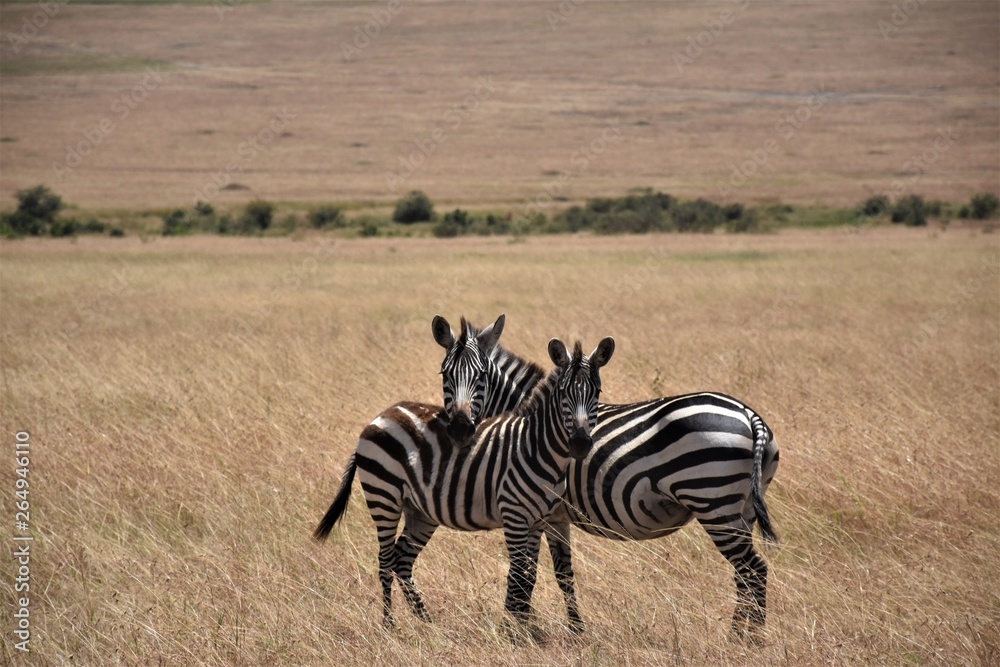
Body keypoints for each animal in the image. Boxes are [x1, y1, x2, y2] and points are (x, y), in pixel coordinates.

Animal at [313, 336, 616, 630]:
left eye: (597, 393)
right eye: (564, 393)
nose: (581, 444)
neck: (537, 447)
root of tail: (384, 414)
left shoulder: (544, 520)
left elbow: (533, 575)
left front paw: (526, 628)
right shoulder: (515, 516)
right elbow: (518, 575)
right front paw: (513, 631)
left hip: (419, 511)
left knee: (402, 559)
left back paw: (427, 623)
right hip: (383, 496)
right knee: (386, 560)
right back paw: (389, 625)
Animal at [435, 318, 779, 643]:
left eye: (480, 377)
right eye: (445, 375)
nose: (460, 430)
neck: (530, 427)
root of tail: (750, 415)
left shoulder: (542, 513)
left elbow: (539, 573)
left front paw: (531, 628)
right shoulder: (556, 516)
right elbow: (563, 573)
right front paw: (572, 630)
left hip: (713, 502)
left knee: (753, 569)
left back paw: (749, 639)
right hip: (743, 509)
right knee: (744, 574)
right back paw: (741, 634)